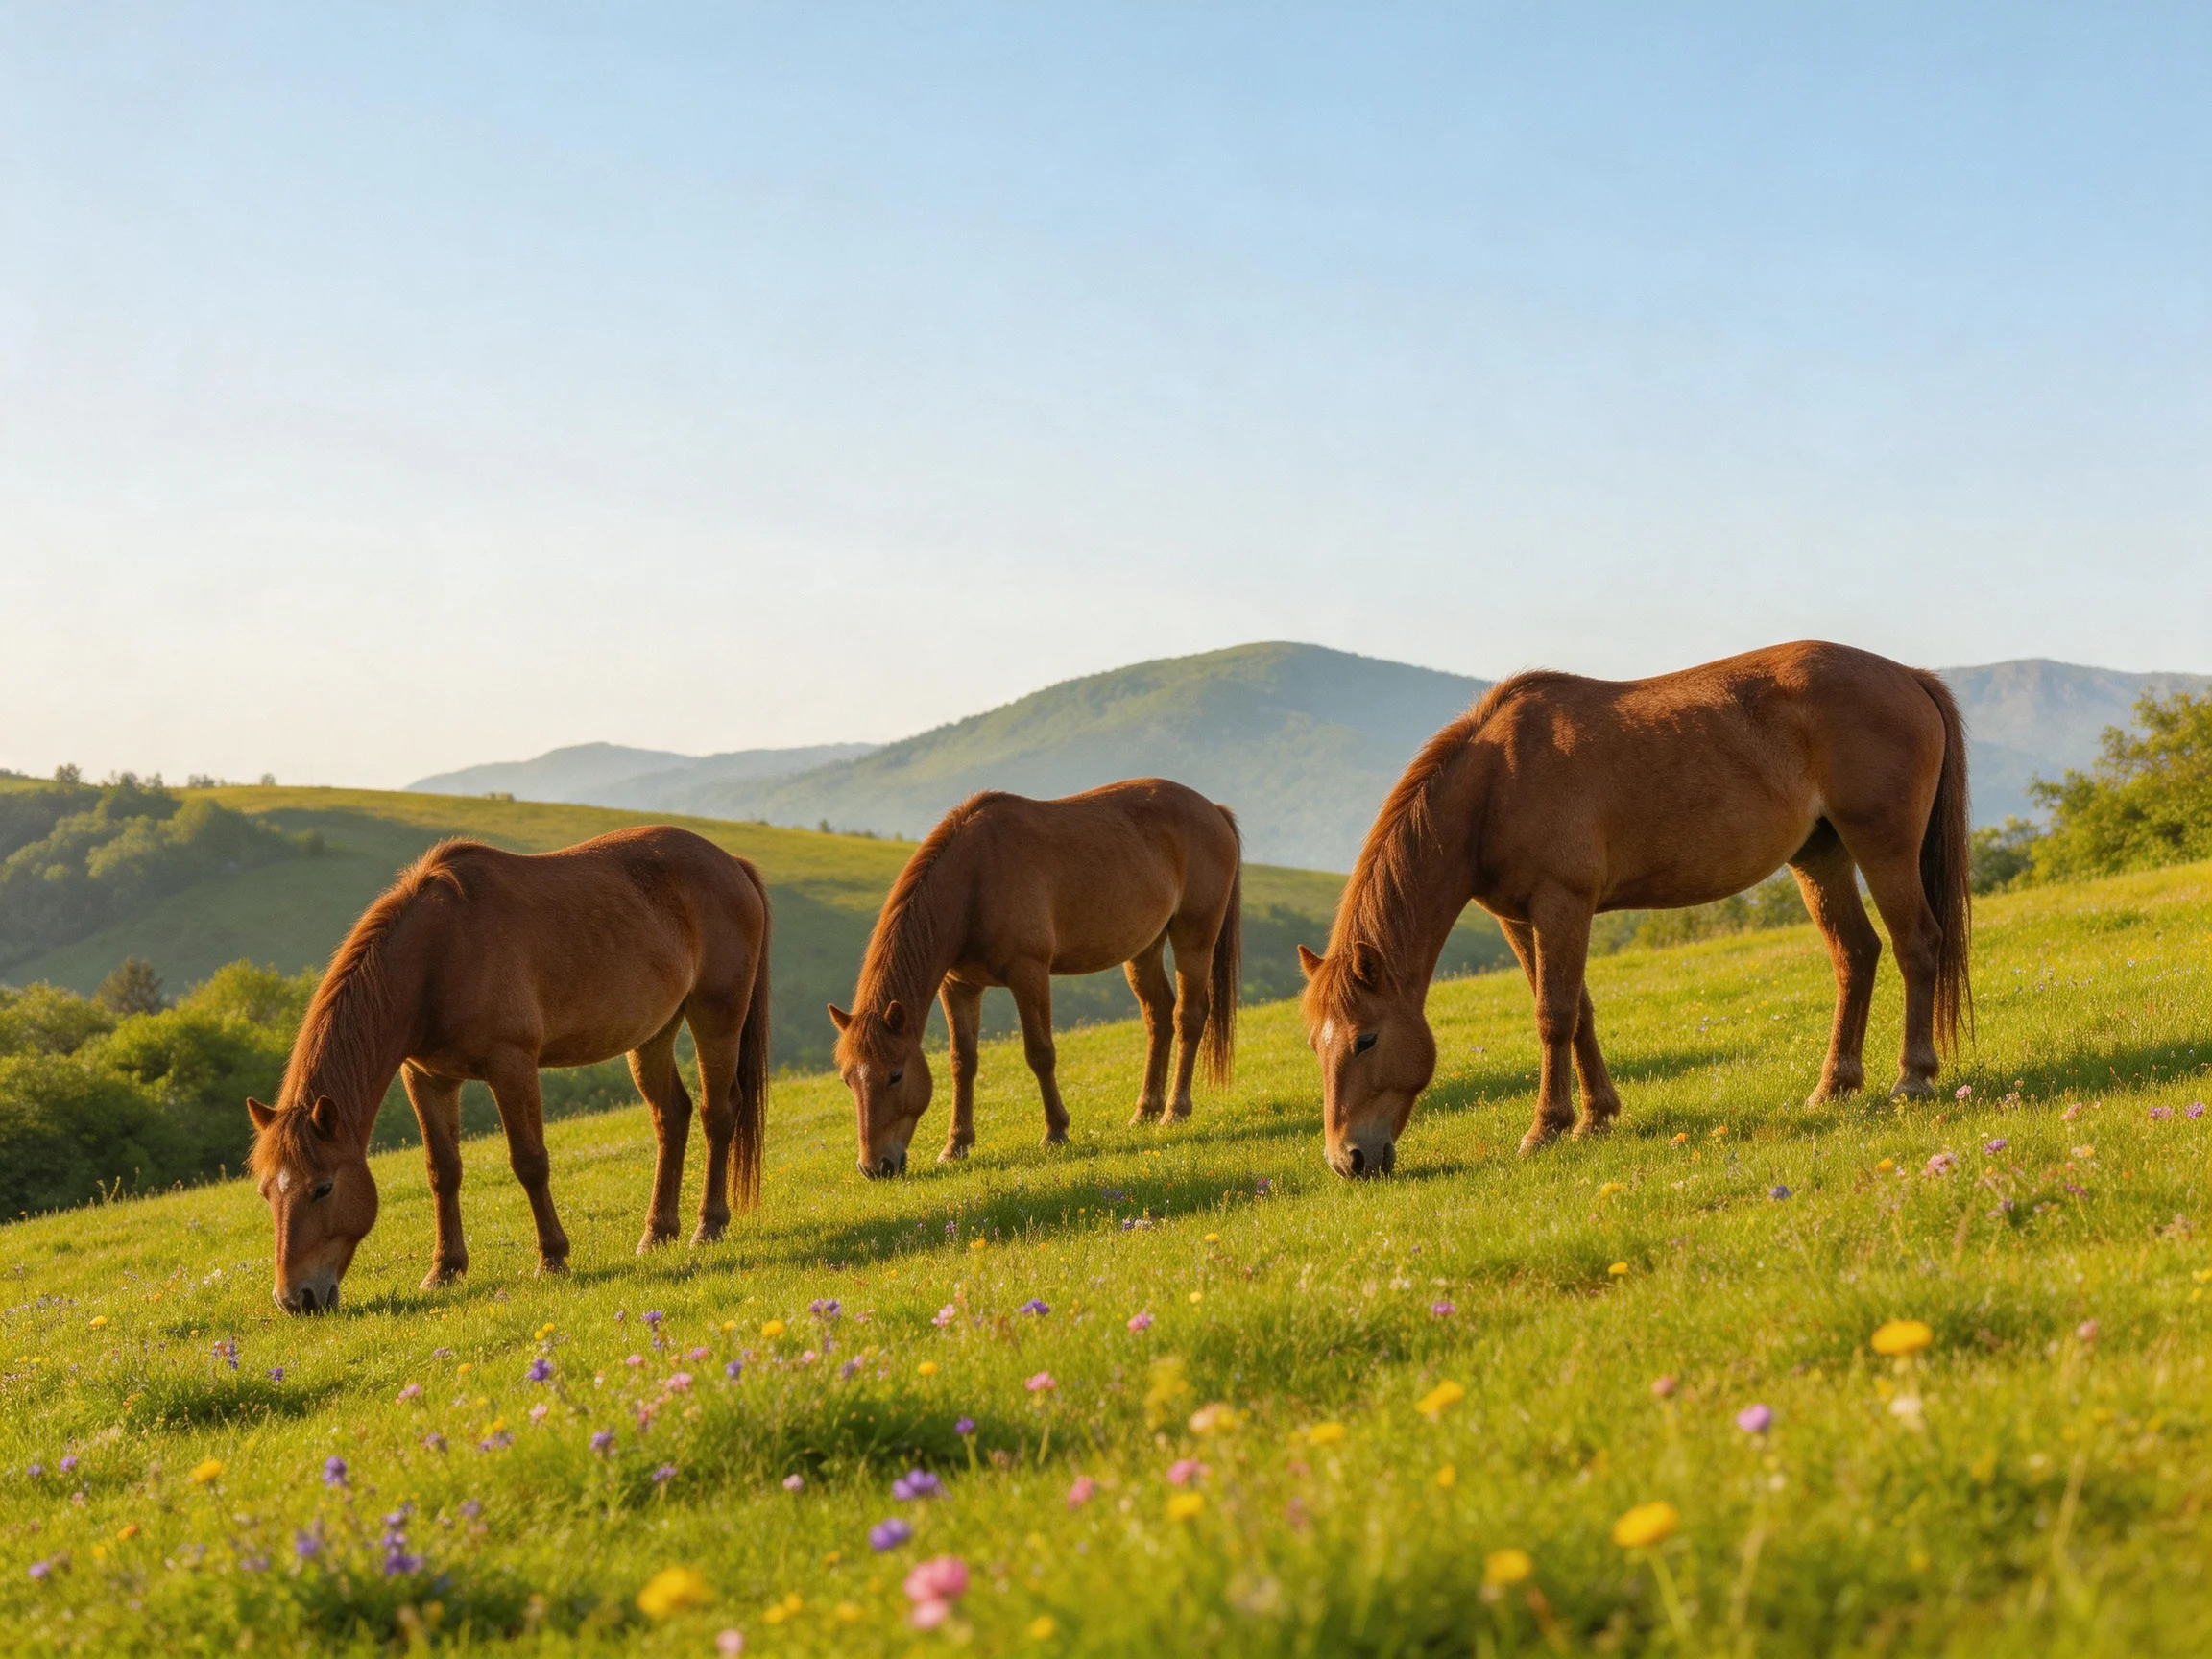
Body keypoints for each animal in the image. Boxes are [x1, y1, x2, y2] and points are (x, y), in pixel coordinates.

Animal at [246, 826, 770, 1312]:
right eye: (267, 1192)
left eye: (323, 1188)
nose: (295, 1299)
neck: (438, 954)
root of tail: (731, 863)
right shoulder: (428, 1079)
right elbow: (443, 1171)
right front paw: (444, 1270)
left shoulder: (511, 1064)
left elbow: (529, 1162)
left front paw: (552, 1258)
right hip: (654, 1034)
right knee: (671, 1116)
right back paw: (658, 1233)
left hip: (716, 1014)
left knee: (717, 1114)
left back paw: (708, 1225)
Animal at [830, 780, 1241, 1177]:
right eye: (848, 1079)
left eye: (896, 1075)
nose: (875, 1167)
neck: (974, 879)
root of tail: (1214, 810)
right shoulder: (959, 987)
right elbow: (963, 1062)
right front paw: (956, 1145)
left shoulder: (1029, 974)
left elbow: (1040, 1053)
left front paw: (1056, 1131)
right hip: (1144, 949)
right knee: (1159, 1016)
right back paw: (1145, 1110)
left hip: (1194, 937)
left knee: (1187, 1017)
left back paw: (1175, 1111)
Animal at [1298, 641, 1971, 1177]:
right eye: (1314, 1045)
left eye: (1365, 1039)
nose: (1347, 1160)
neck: (1498, 781)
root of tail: (1909, 675)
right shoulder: (1520, 917)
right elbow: (1580, 1014)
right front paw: (1596, 1116)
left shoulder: (1561, 903)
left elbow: (1554, 1016)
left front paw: (1545, 1128)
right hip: (1820, 857)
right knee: (1856, 955)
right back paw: (1834, 1086)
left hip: (1883, 845)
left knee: (1917, 946)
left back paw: (1912, 1077)